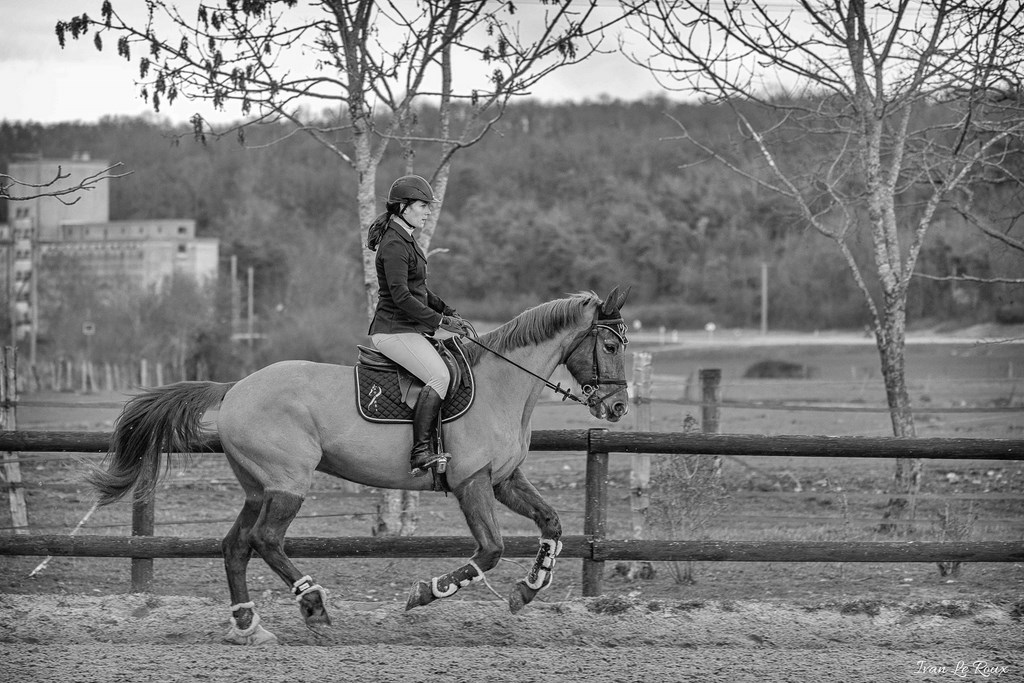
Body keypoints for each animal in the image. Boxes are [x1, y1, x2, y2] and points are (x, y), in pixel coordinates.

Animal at [88, 286, 630, 647]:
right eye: (609, 346)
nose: (618, 408)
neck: (503, 386)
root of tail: (236, 388)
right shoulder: (471, 483)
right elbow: (492, 549)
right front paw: (427, 592)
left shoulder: (504, 481)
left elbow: (552, 524)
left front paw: (528, 590)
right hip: (289, 484)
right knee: (266, 540)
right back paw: (313, 606)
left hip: (259, 488)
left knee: (236, 546)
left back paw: (249, 626)